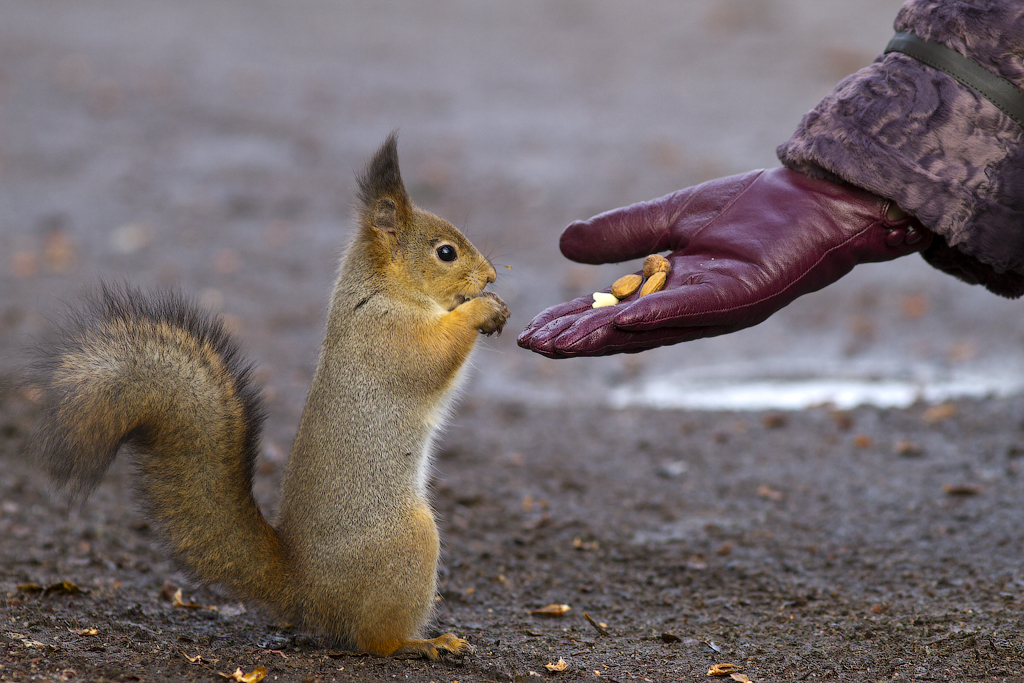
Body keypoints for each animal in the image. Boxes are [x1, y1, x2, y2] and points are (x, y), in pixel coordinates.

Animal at [29, 135, 509, 663]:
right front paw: (482, 310)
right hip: (409, 542)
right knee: (373, 639)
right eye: (445, 252)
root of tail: (305, 590)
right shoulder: (387, 335)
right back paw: (423, 642)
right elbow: (431, 356)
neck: (382, 289)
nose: (490, 276)